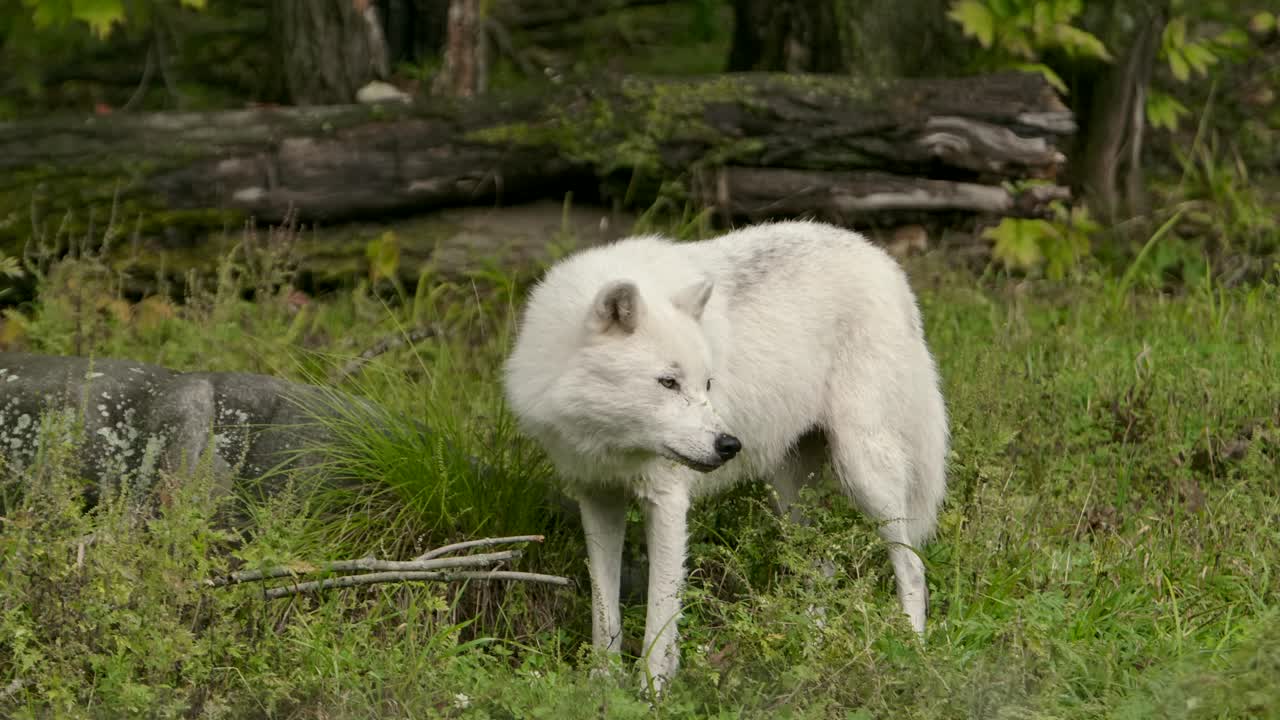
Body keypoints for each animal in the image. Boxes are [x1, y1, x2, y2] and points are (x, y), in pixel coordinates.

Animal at [503, 220, 949, 691]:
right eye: (668, 382)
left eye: (707, 383)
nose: (728, 445)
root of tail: (883, 260)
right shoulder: (597, 498)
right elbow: (604, 611)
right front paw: (601, 685)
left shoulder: (667, 501)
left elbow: (660, 615)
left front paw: (653, 692)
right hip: (792, 496)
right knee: (821, 567)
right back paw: (810, 645)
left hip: (864, 472)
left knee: (912, 567)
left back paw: (911, 652)